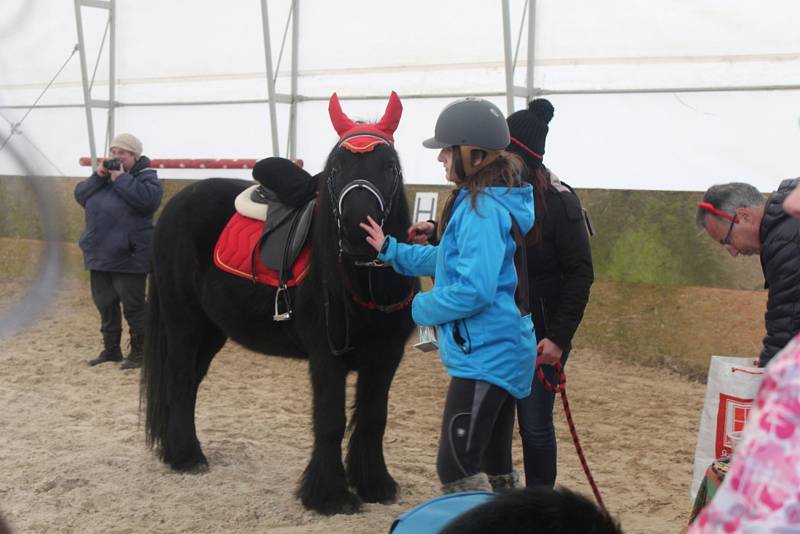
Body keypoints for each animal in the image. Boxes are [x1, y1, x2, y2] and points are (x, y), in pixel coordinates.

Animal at [143, 94, 416, 516]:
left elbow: (373, 418)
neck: (365, 282)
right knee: (179, 379)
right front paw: (330, 496)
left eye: (389, 166)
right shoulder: (326, 357)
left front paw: (374, 484)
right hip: (182, 322)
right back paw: (186, 457)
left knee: (189, 384)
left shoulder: (386, 357)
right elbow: (330, 421)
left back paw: (182, 452)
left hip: (211, 330)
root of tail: (175, 204)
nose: (358, 231)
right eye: (337, 168)